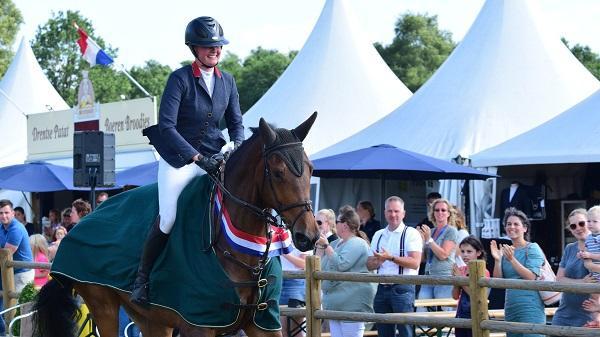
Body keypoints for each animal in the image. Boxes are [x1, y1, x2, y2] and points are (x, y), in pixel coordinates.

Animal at [34, 113, 318, 336]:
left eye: (311, 169)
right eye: (278, 173)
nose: (309, 236)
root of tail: (84, 219)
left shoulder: (263, 323)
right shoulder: (199, 325)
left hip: (151, 319)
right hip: (103, 304)